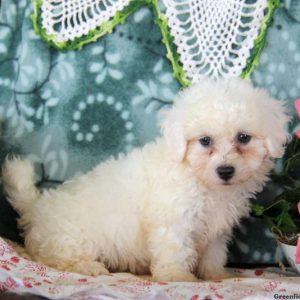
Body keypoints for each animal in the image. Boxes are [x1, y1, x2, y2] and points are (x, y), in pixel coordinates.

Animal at [1, 78, 290, 282]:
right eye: (205, 141)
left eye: (244, 138)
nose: (226, 170)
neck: (198, 178)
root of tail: (36, 207)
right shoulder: (173, 222)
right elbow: (175, 250)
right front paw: (177, 278)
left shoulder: (216, 231)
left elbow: (214, 253)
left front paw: (216, 275)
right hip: (69, 239)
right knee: (57, 258)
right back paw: (90, 267)